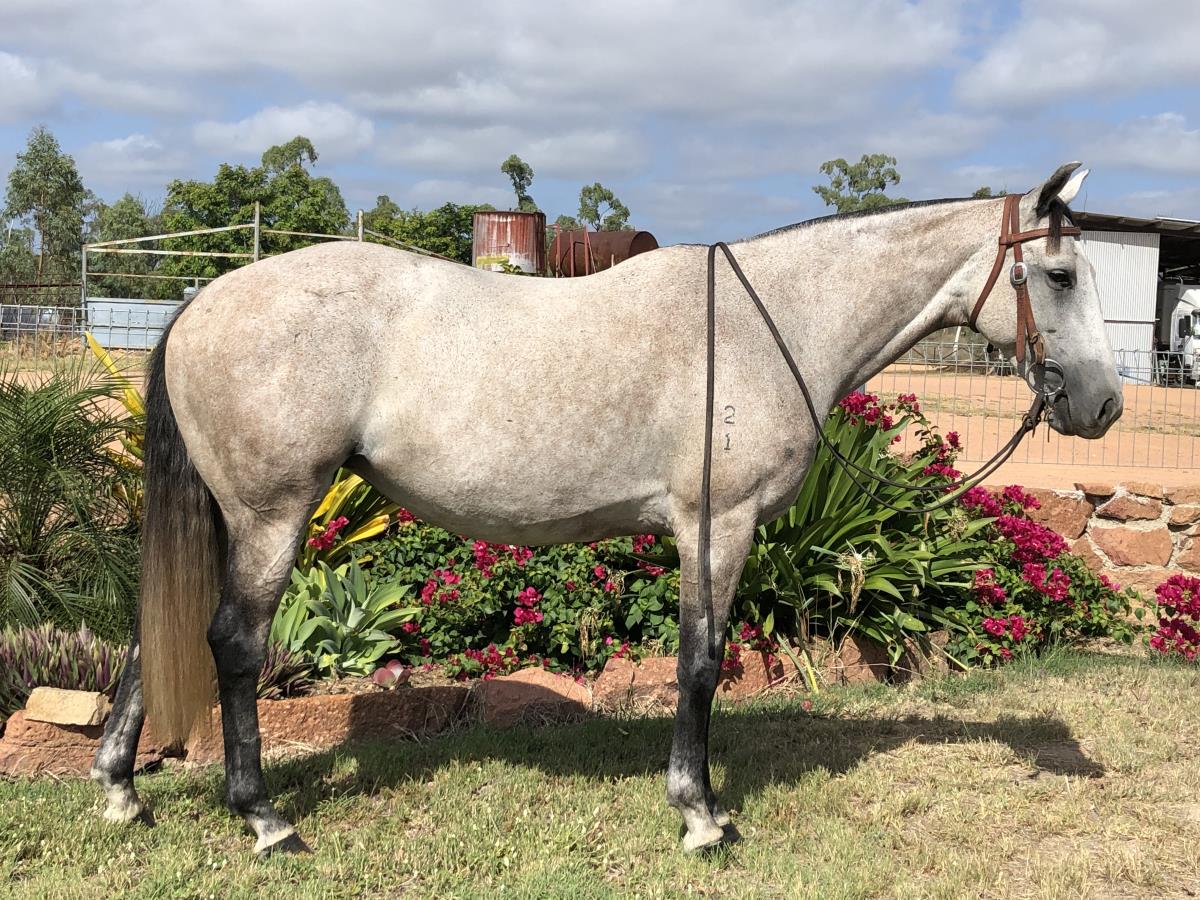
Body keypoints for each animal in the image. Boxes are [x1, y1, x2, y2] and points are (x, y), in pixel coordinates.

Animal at [91, 162, 1121, 854]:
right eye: (1062, 275)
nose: (1104, 407)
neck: (771, 323)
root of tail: (201, 301)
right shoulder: (718, 524)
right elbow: (702, 661)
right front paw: (701, 813)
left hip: (228, 514)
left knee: (157, 631)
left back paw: (121, 790)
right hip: (273, 513)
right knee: (232, 644)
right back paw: (263, 817)